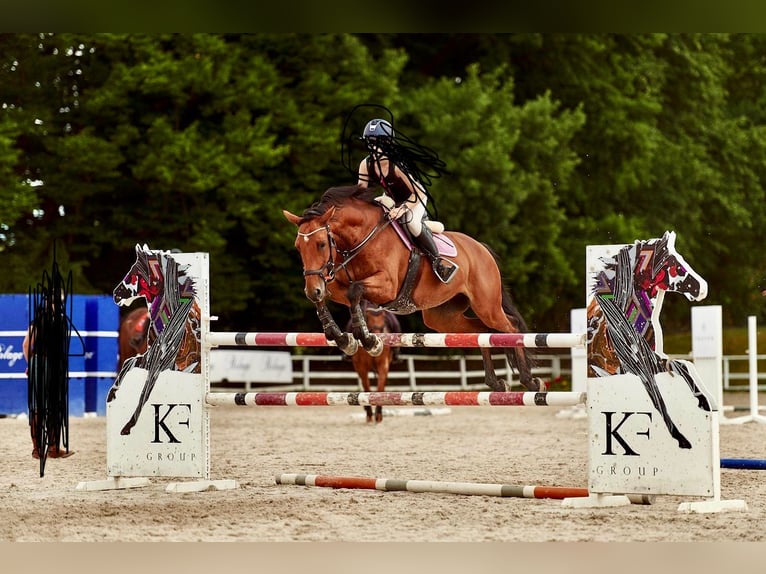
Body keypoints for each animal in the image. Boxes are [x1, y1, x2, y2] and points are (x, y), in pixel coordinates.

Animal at [284, 187, 544, 394]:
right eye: (298, 247)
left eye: (321, 244)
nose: (312, 290)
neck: (360, 239)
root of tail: (481, 248)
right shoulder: (333, 284)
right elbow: (334, 298)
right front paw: (342, 338)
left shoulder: (387, 286)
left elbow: (355, 291)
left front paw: (369, 341)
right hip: (442, 317)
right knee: (481, 332)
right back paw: (495, 382)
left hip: (486, 305)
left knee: (510, 327)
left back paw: (530, 381)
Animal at [592, 232, 716, 452]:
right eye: (676, 266)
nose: (702, 289)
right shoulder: (639, 370)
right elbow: (659, 402)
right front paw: (681, 439)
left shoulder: (652, 361)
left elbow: (682, 365)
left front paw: (703, 401)